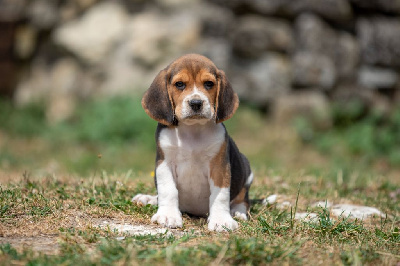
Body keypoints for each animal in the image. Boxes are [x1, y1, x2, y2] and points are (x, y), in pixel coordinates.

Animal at [134, 53, 253, 231]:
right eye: (180, 84)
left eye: (209, 84)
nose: (196, 103)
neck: (193, 130)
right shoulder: (165, 163)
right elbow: (168, 190)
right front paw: (168, 215)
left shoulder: (219, 166)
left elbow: (220, 194)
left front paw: (221, 220)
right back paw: (147, 198)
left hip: (246, 170)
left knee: (243, 199)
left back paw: (237, 211)